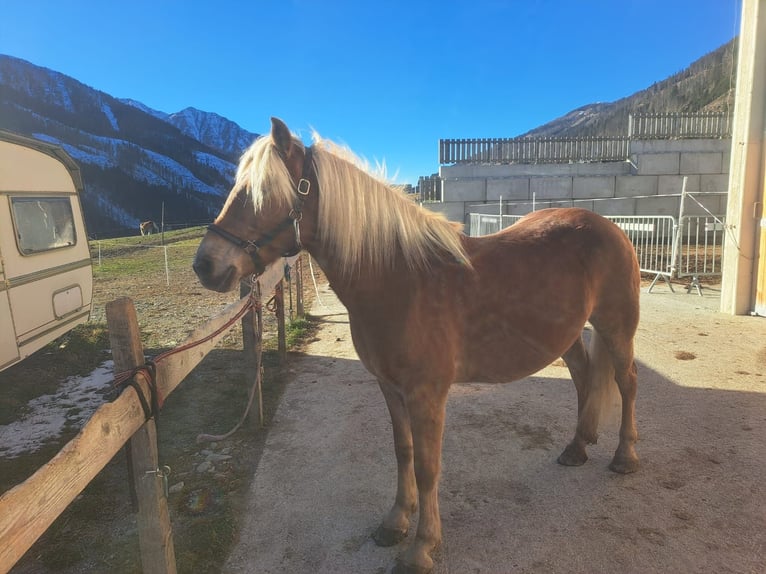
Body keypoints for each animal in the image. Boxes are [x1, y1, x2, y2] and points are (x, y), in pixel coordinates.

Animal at [192, 118, 640, 574]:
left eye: (263, 193)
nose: (205, 265)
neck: (399, 279)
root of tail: (611, 227)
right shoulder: (390, 388)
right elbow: (402, 451)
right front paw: (395, 523)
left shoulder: (427, 394)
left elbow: (427, 467)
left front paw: (422, 546)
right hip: (567, 334)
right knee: (584, 376)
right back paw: (577, 447)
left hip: (617, 328)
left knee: (627, 383)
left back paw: (625, 458)